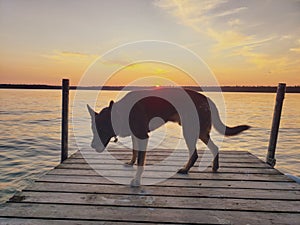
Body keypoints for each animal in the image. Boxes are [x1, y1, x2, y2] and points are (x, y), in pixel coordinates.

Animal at [87, 88, 251, 186]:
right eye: (93, 129)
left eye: (102, 129)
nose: (93, 146)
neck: (122, 111)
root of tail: (207, 99)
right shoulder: (136, 136)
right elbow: (134, 152)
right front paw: (131, 162)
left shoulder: (142, 136)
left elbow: (141, 161)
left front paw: (137, 180)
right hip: (200, 132)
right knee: (214, 147)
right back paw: (214, 167)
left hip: (190, 131)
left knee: (195, 154)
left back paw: (186, 169)